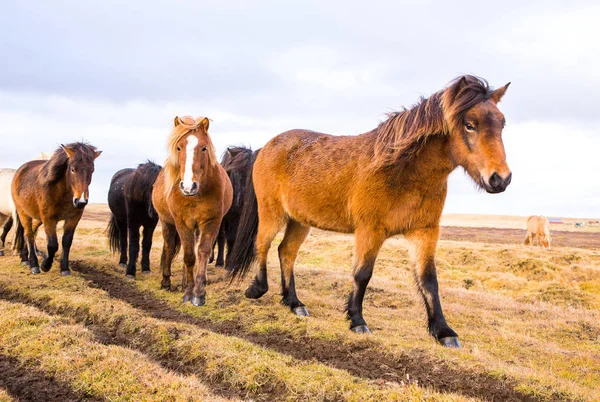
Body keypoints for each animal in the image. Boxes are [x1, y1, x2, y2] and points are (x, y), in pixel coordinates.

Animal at [12, 142, 101, 276]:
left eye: (92, 170)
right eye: (72, 169)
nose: (81, 202)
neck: (62, 193)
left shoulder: (73, 219)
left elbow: (67, 242)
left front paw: (65, 268)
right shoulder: (49, 219)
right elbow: (53, 245)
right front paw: (45, 265)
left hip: (38, 218)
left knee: (32, 231)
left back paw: (25, 258)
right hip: (23, 213)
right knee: (28, 234)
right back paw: (34, 265)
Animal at [151, 115, 233, 304]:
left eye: (204, 148)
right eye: (178, 147)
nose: (189, 187)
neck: (195, 195)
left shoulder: (211, 222)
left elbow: (202, 251)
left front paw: (199, 292)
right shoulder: (182, 223)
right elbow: (189, 255)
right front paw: (188, 292)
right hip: (167, 223)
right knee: (169, 246)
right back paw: (166, 282)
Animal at [229, 76, 510, 348]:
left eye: (502, 124)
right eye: (469, 125)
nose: (500, 179)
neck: (402, 171)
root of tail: (265, 148)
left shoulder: (425, 232)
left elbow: (429, 279)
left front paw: (443, 332)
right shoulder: (370, 230)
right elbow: (362, 274)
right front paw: (357, 321)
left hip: (300, 221)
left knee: (286, 252)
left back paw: (294, 303)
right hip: (272, 214)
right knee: (262, 244)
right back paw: (256, 289)